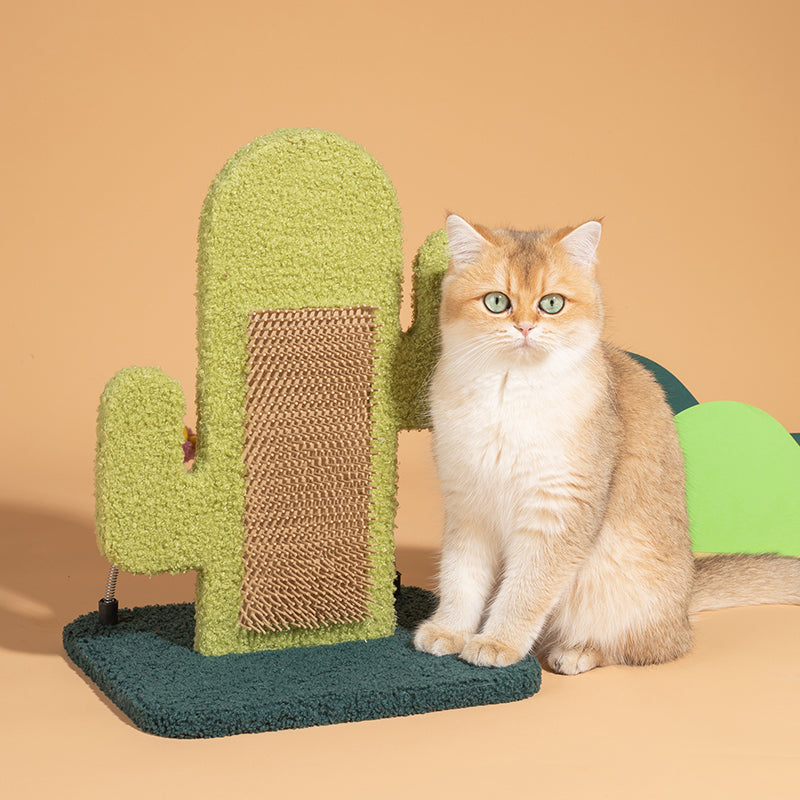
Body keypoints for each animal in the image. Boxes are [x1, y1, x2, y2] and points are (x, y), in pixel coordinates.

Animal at [412, 214, 800, 676]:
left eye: (551, 304)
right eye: (496, 301)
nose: (524, 327)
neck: (508, 393)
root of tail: (686, 598)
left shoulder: (560, 507)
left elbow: (526, 589)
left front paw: (498, 641)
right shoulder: (467, 504)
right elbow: (460, 577)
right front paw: (449, 630)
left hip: (617, 584)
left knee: (653, 647)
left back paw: (577, 652)